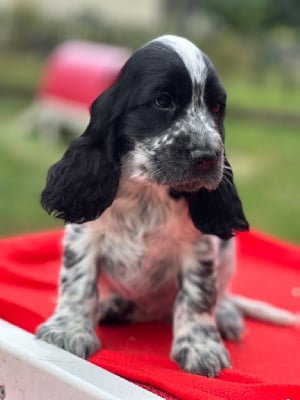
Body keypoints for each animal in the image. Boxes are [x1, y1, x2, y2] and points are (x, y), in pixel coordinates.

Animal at [35, 36, 298, 376]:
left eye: (217, 108)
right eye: (162, 101)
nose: (208, 156)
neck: (149, 192)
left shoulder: (198, 248)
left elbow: (197, 298)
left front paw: (200, 347)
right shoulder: (84, 234)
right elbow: (78, 281)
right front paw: (68, 331)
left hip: (227, 252)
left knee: (222, 294)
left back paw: (226, 316)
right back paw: (115, 306)